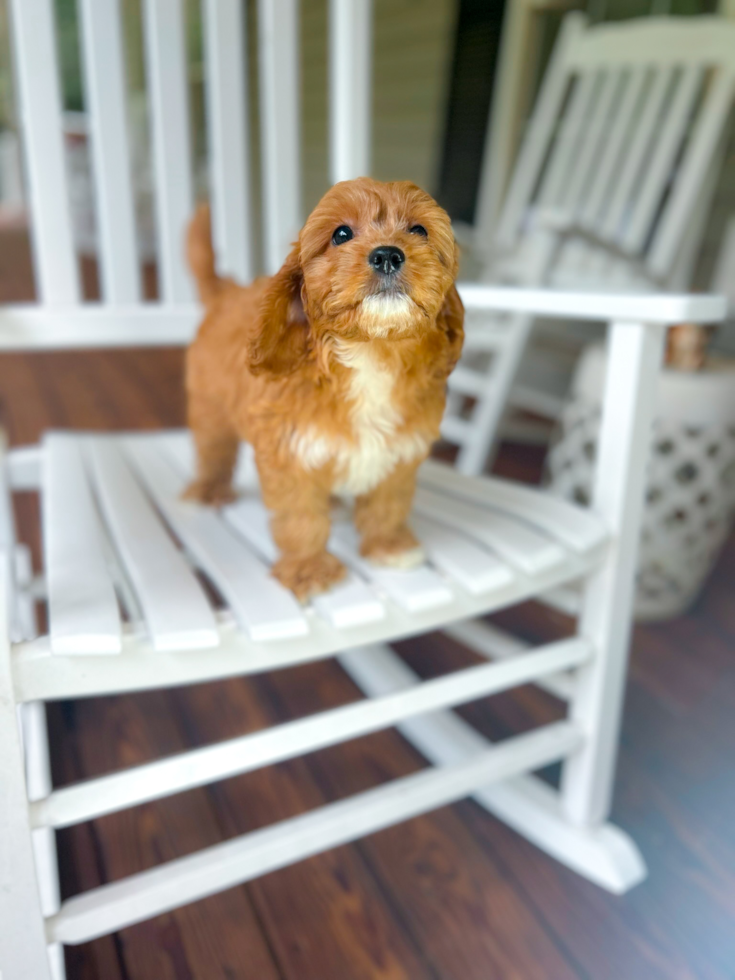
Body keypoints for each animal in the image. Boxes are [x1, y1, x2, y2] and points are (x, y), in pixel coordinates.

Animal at [184, 180, 462, 600]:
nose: (387, 255)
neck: (371, 353)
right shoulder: (290, 453)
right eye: (341, 234)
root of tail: (226, 292)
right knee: (214, 449)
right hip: (210, 407)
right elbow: (301, 518)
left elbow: (389, 503)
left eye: (419, 230)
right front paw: (308, 568)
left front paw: (389, 546)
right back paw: (210, 488)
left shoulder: (400, 453)